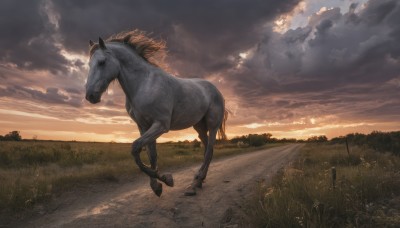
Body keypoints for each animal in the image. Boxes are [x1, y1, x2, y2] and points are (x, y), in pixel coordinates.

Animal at [84, 30, 228, 197]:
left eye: (101, 62)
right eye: (89, 64)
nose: (90, 95)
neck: (144, 85)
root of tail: (216, 90)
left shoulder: (160, 125)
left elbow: (135, 148)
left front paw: (166, 179)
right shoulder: (143, 126)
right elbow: (151, 155)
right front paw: (157, 186)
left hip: (212, 126)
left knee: (209, 151)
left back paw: (195, 182)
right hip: (199, 127)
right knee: (206, 151)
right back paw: (198, 182)